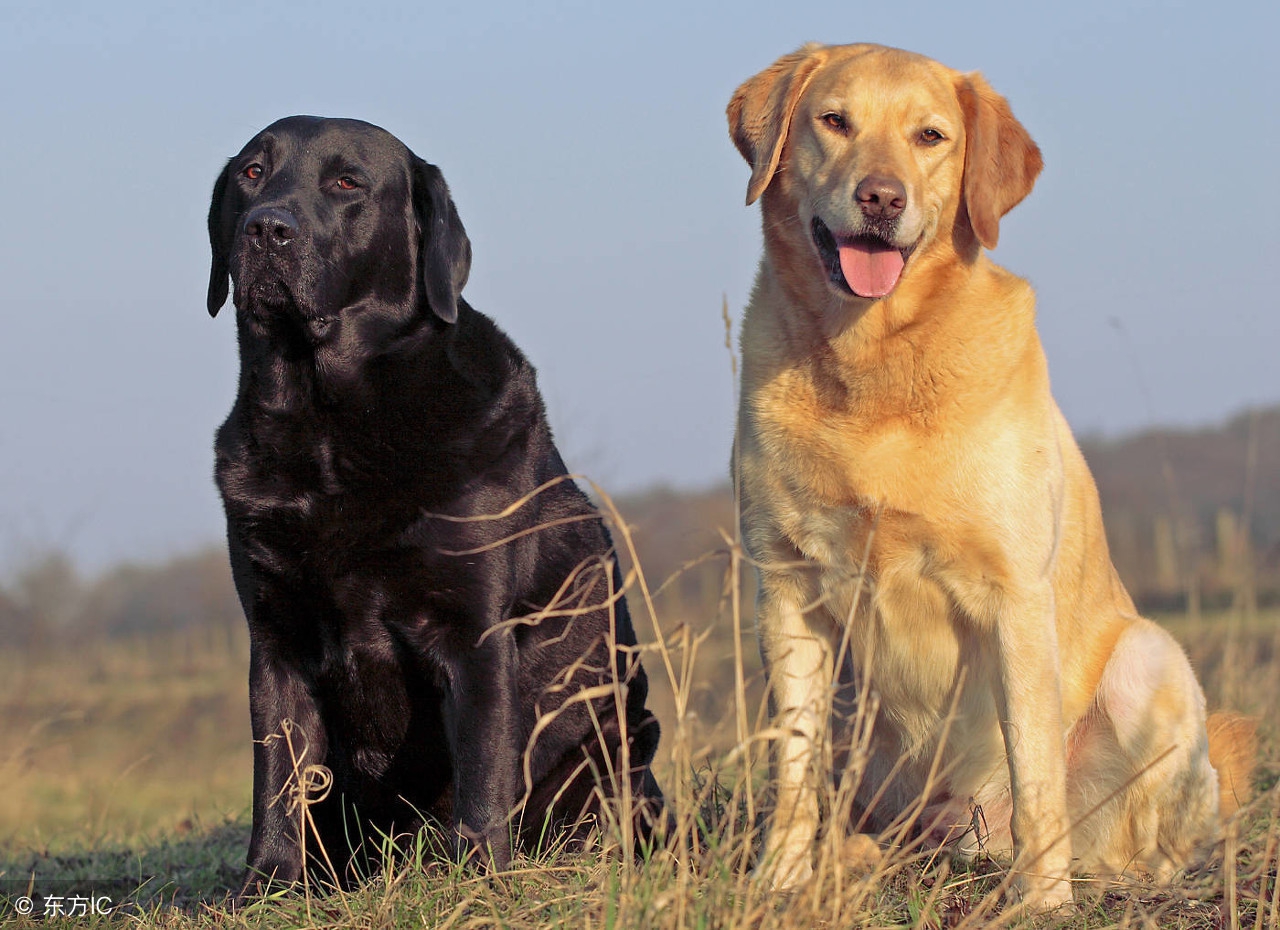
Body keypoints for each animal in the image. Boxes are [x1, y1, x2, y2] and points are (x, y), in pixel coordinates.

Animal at [204, 114, 665, 895]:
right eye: (252, 174)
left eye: (347, 182)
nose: (267, 228)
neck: (326, 421)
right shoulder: (275, 636)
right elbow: (279, 774)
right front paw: (267, 884)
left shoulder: (471, 630)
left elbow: (482, 767)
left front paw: (479, 877)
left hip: (617, 746)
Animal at [727, 41, 1254, 910]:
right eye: (834, 121)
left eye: (931, 136)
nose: (881, 197)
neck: (874, 364)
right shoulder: (786, 587)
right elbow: (792, 766)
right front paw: (780, 881)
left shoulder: (1013, 597)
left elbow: (1033, 769)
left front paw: (1043, 903)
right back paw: (858, 858)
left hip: (1149, 658)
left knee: (1129, 838)